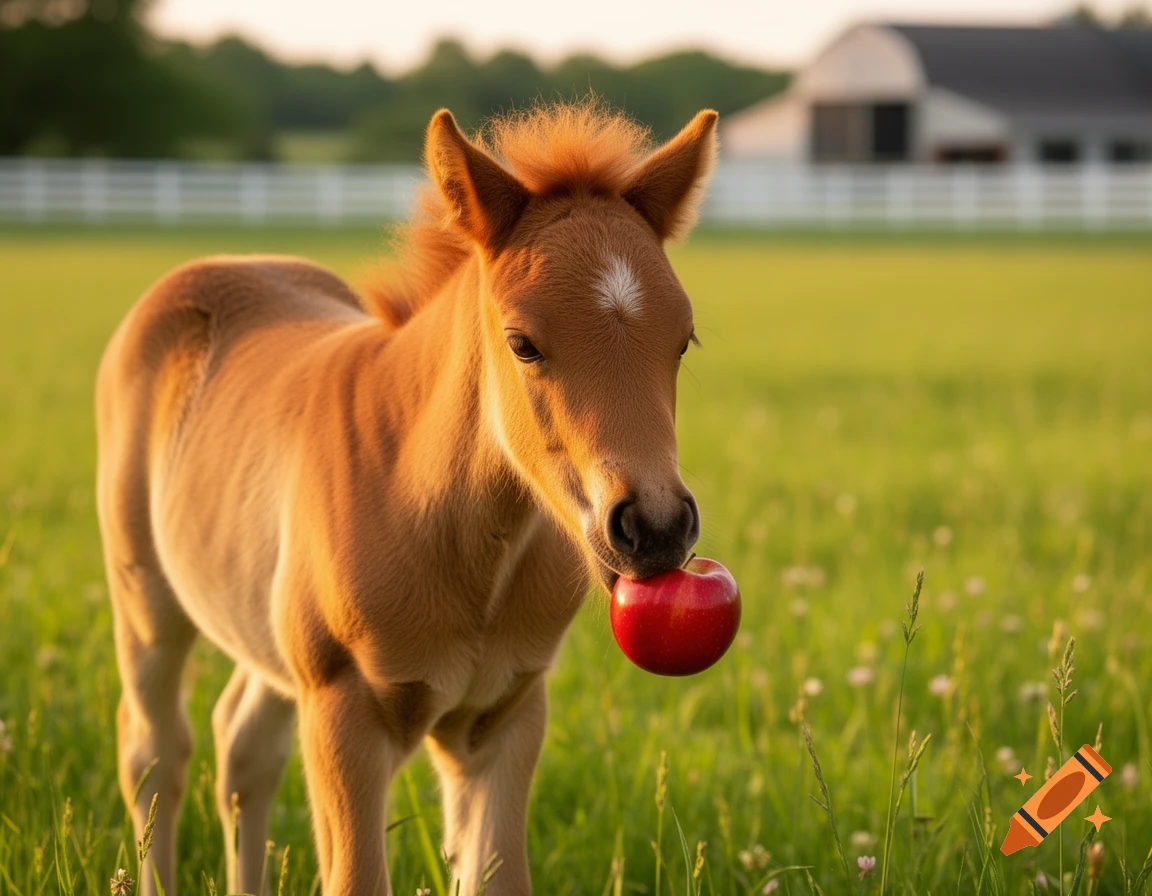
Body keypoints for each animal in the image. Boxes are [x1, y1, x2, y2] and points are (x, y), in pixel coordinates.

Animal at [96, 101, 718, 895]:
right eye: (522, 342)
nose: (656, 526)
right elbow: (355, 877)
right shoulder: (343, 714)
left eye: (683, 339)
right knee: (153, 753)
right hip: (145, 596)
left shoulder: (504, 716)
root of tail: (221, 264)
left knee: (243, 746)